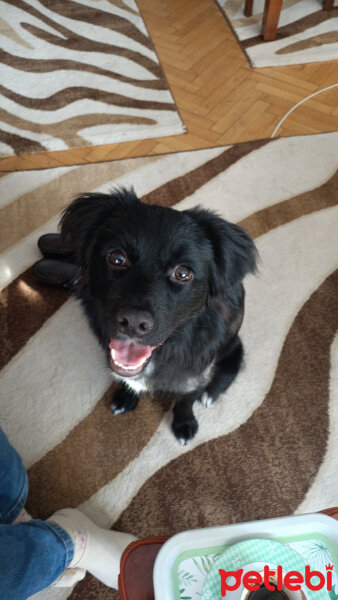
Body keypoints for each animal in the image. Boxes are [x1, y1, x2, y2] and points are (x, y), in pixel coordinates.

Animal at [60, 189, 256, 446]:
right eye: (117, 258)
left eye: (182, 273)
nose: (133, 323)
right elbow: (125, 381)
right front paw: (126, 398)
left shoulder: (194, 378)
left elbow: (185, 401)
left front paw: (184, 424)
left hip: (234, 348)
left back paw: (210, 394)